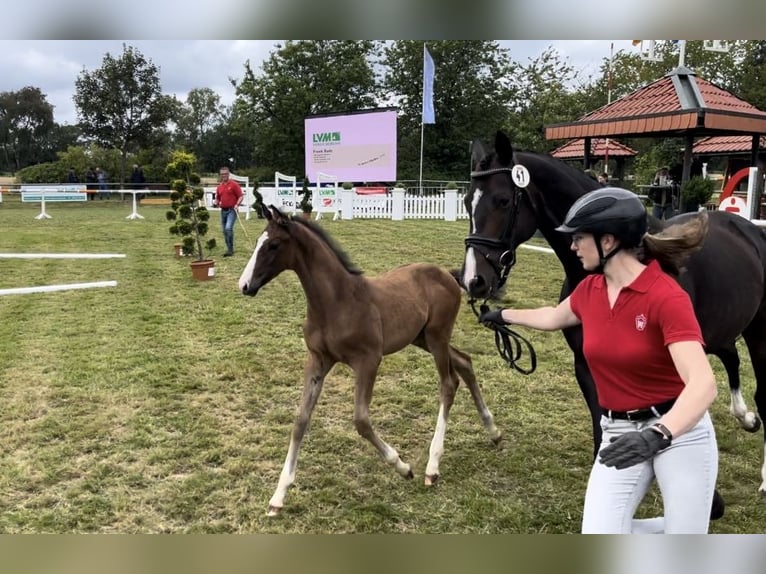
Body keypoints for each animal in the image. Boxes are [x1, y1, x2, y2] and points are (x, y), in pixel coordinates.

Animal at [240, 206, 504, 516]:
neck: (336, 301)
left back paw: (432, 467)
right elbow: (301, 420)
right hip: (422, 338)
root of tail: (448, 275)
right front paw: (278, 496)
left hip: (437, 336)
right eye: (259, 241)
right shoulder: (317, 360)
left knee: (448, 383)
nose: (245, 285)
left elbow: (361, 421)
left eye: (273, 245)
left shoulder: (368, 361)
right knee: (465, 362)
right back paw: (493, 432)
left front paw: (403, 467)